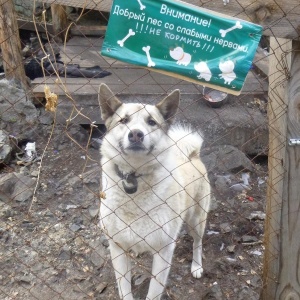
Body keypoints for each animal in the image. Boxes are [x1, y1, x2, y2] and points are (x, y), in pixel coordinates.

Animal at [98, 84, 211, 300]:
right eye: (124, 120)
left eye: (151, 122)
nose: (136, 134)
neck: (135, 177)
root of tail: (192, 154)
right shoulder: (117, 248)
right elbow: (124, 289)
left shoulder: (163, 251)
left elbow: (153, 292)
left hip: (196, 219)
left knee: (198, 242)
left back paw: (196, 266)